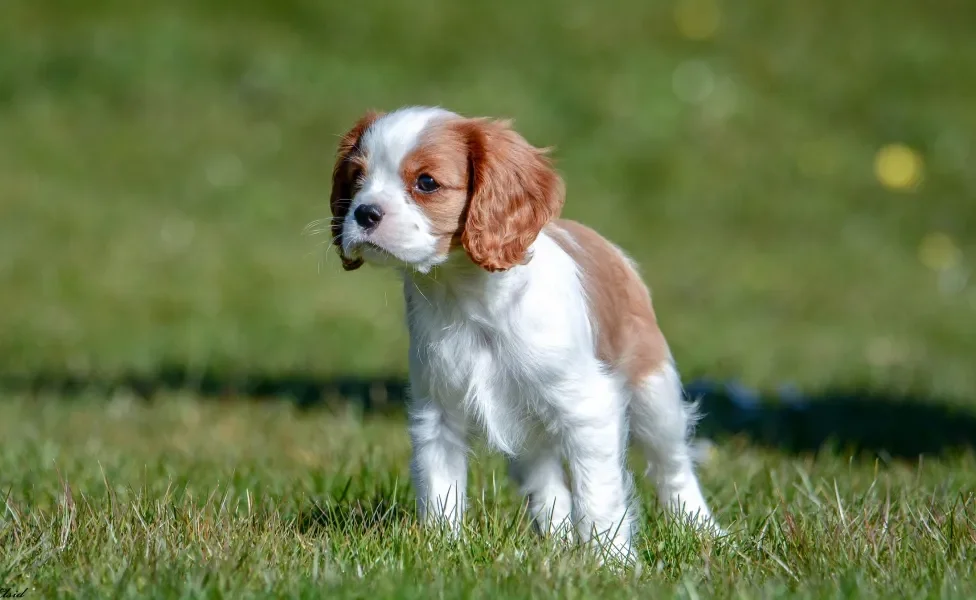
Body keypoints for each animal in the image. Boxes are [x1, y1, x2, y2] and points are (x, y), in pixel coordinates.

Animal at [332, 105, 720, 560]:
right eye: (357, 177)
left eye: (426, 182)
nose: (364, 212)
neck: (469, 295)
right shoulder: (438, 413)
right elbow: (440, 486)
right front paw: (441, 549)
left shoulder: (588, 410)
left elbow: (598, 495)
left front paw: (611, 563)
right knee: (546, 481)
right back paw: (555, 543)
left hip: (653, 392)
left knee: (672, 465)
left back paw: (704, 530)